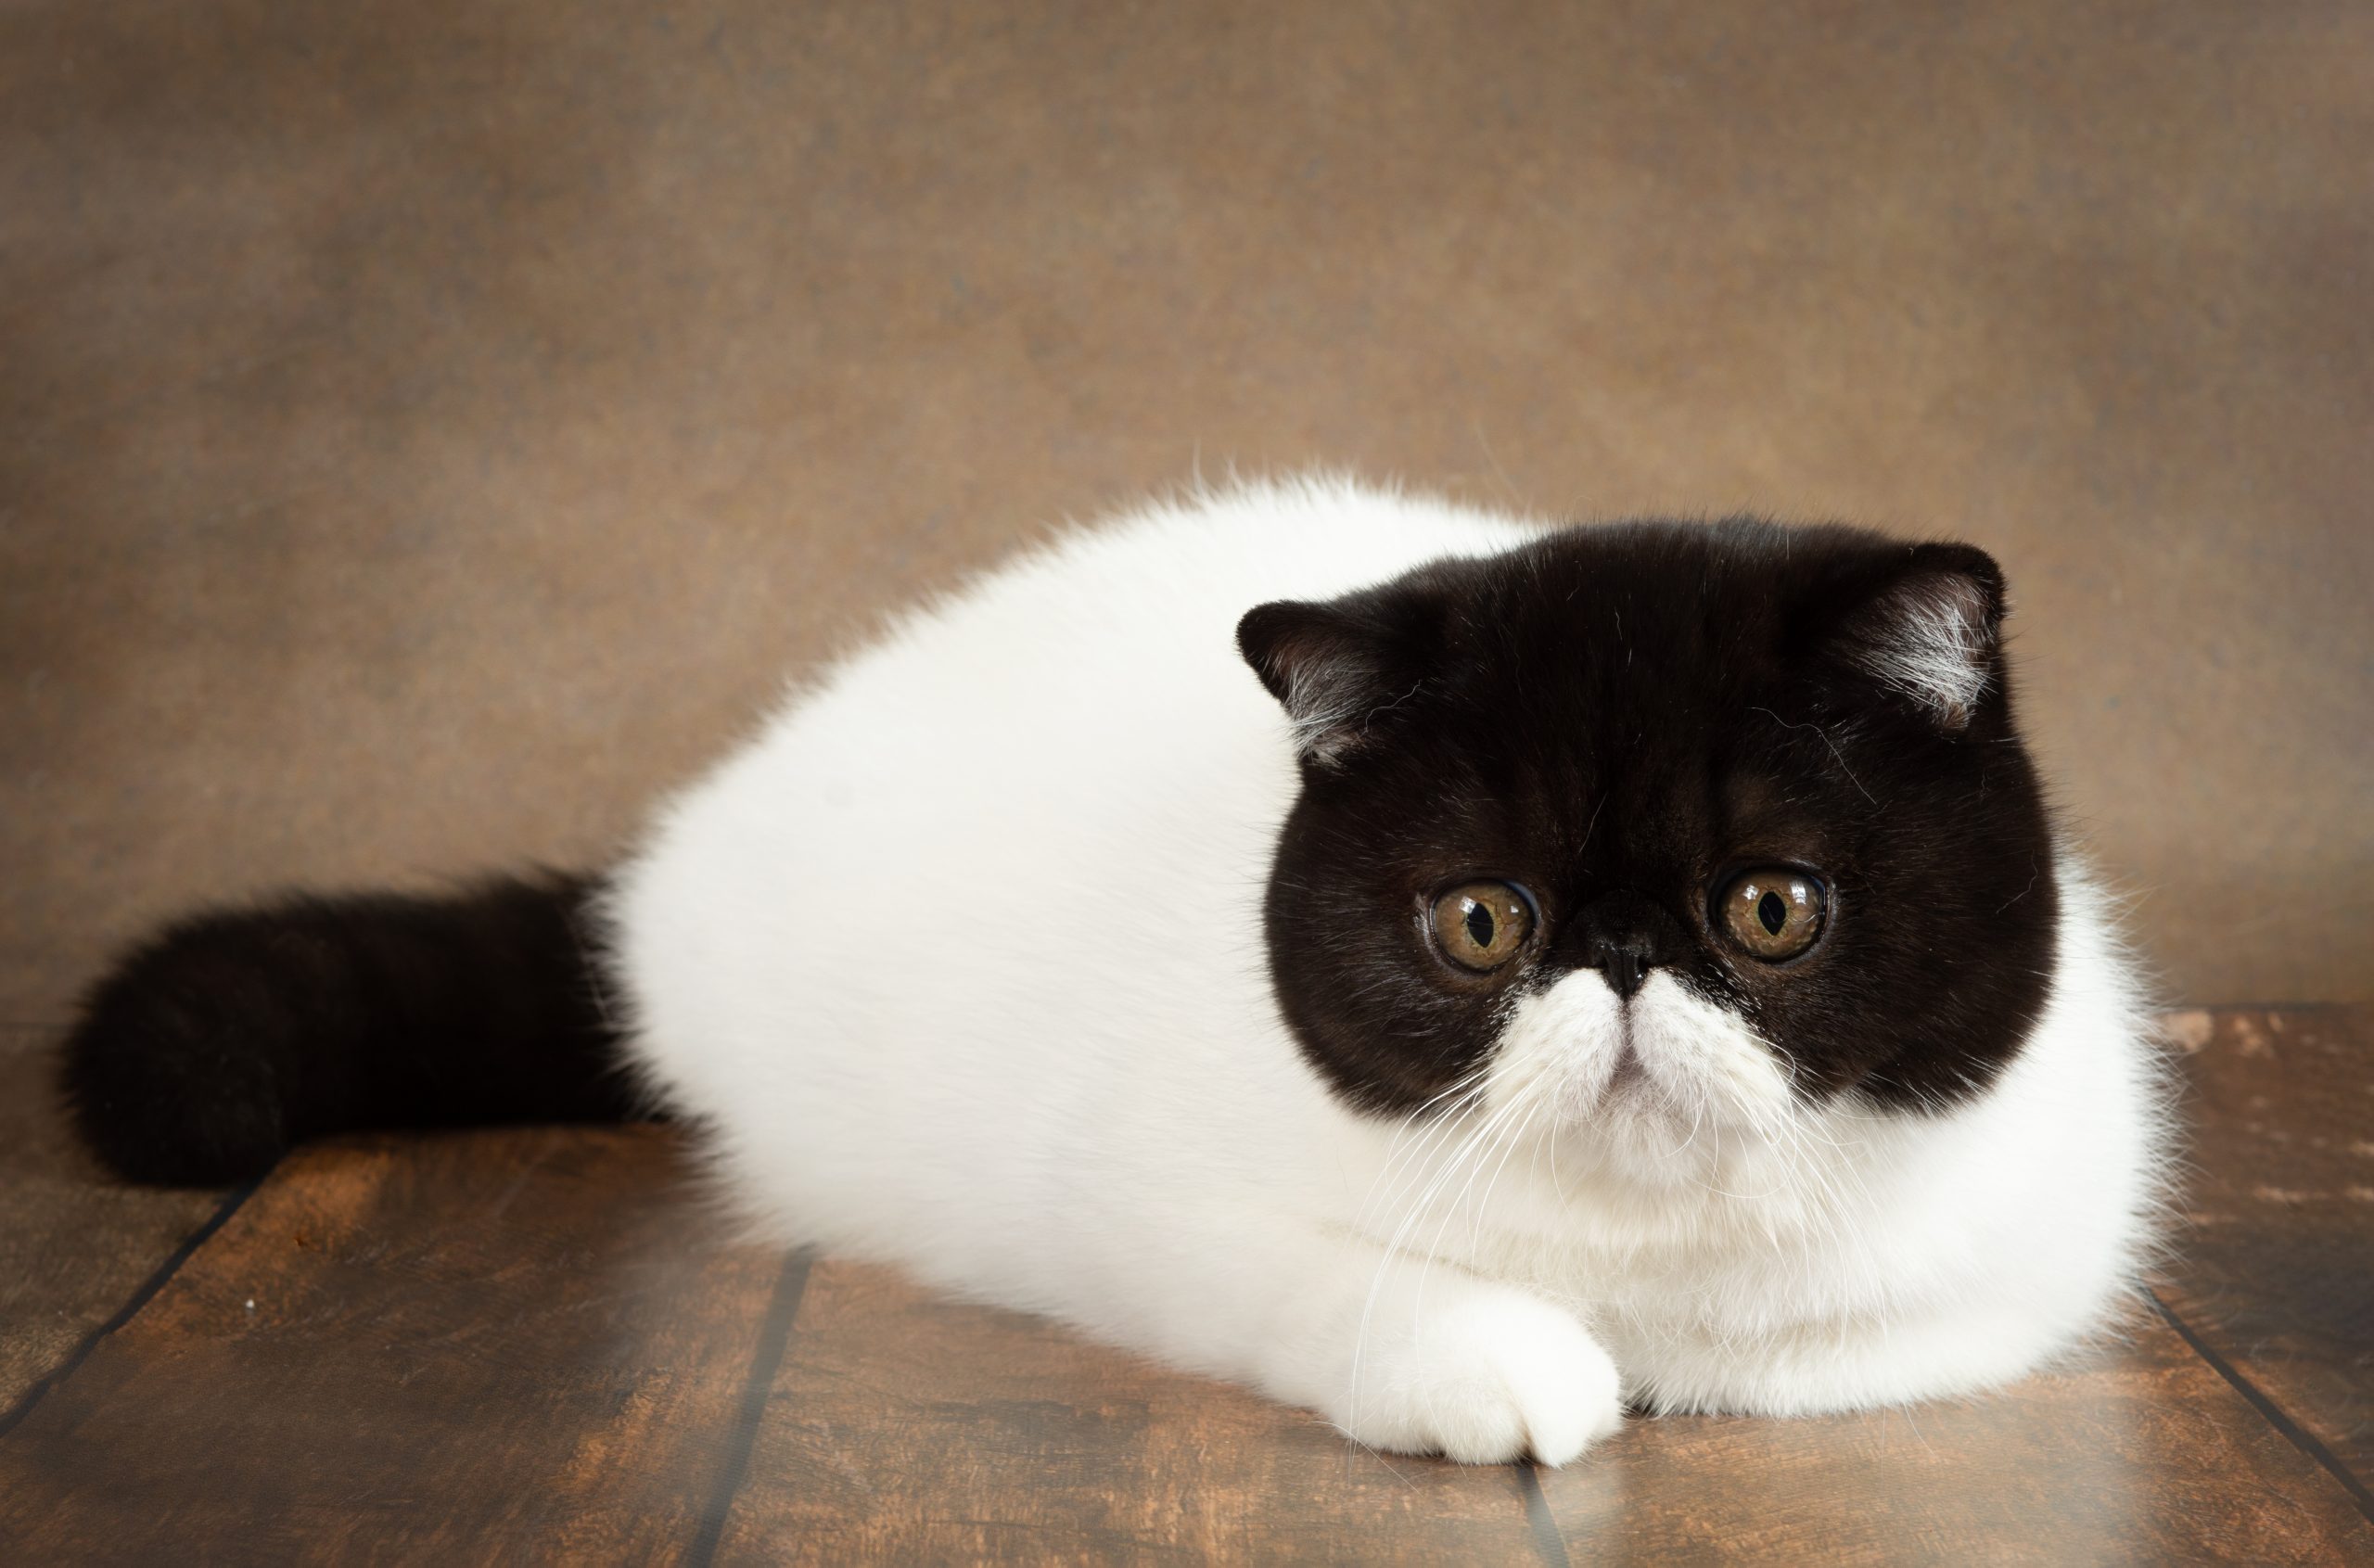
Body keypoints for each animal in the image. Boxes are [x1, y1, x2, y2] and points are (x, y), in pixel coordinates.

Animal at [56, 478, 2174, 1471]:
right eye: (1481, 922)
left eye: (1769, 910)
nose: (1628, 965)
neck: (1640, 1267)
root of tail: (662, 879)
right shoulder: (1143, 1207)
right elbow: (1359, 1279)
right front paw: (1503, 1361)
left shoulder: (1998, 1259)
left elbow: (1821, 1332)